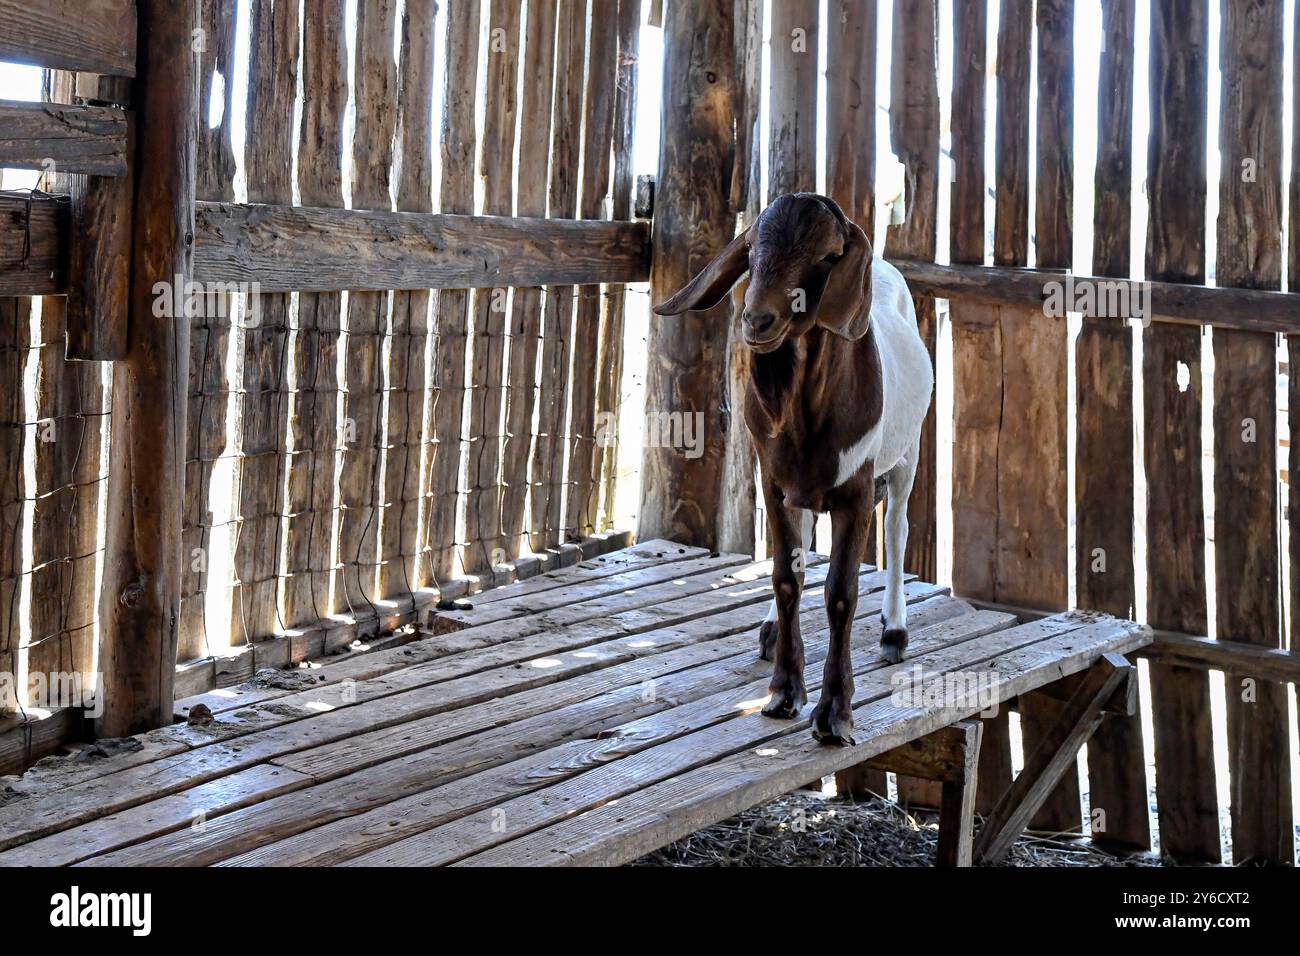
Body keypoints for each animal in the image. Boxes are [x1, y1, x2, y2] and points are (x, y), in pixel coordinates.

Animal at [653, 193, 934, 745]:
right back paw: (769, 631)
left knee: (897, 528)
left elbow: (841, 594)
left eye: (828, 256)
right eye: (751, 249)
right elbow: (786, 577)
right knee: (802, 545)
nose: (757, 320)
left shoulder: (856, 491)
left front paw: (834, 715)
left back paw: (895, 631)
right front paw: (784, 693)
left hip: (907, 452)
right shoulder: (775, 482)